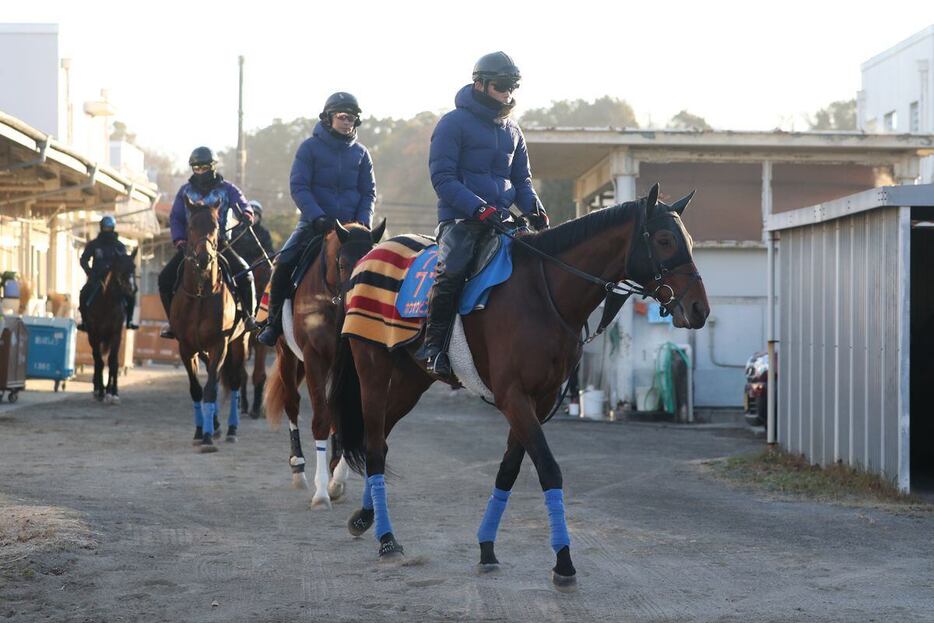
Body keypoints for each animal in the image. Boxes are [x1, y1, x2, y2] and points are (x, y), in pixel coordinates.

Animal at [85, 250, 138, 404]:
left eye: (134, 267)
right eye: (120, 268)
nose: (132, 289)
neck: (106, 304)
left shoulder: (116, 335)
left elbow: (113, 362)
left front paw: (112, 392)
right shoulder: (95, 336)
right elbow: (100, 362)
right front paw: (101, 391)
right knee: (97, 360)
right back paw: (97, 388)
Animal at [172, 205, 250, 454]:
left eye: (216, 226)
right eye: (190, 225)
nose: (204, 258)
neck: (200, 294)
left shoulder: (220, 344)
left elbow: (211, 389)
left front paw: (207, 437)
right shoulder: (186, 348)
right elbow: (197, 389)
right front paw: (200, 432)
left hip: (240, 342)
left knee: (234, 380)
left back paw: (231, 429)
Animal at [266, 222, 388, 510]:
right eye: (342, 264)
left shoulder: (354, 366)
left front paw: (337, 481)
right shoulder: (314, 359)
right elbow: (321, 419)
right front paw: (322, 492)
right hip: (287, 355)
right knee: (292, 403)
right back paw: (298, 467)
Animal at [330, 184, 708, 588]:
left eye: (688, 240)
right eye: (665, 240)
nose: (700, 309)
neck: (543, 293)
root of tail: (368, 257)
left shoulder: (538, 399)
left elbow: (508, 470)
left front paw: (487, 548)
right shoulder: (513, 396)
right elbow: (548, 468)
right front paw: (563, 561)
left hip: (410, 381)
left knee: (380, 441)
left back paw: (365, 518)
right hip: (373, 370)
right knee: (373, 446)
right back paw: (386, 539)